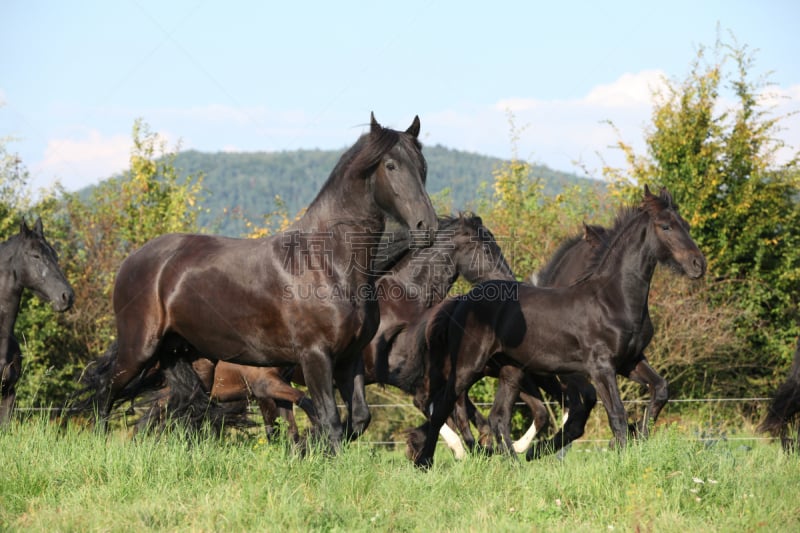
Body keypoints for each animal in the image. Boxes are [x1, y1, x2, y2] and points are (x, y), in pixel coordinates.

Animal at [81, 114, 438, 450]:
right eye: (391, 165)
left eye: (423, 166)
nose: (427, 226)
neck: (327, 265)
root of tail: (132, 261)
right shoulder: (315, 357)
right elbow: (330, 421)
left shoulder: (349, 358)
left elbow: (358, 419)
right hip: (139, 349)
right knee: (106, 391)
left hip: (187, 357)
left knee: (167, 409)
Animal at [412, 186, 708, 466]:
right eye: (665, 226)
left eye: (685, 225)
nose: (698, 264)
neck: (613, 298)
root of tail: (461, 303)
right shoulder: (600, 367)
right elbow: (616, 414)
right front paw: (623, 455)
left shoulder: (630, 360)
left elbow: (660, 390)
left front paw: (640, 438)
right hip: (468, 365)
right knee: (442, 406)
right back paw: (427, 461)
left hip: (511, 370)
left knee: (498, 416)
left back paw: (514, 464)